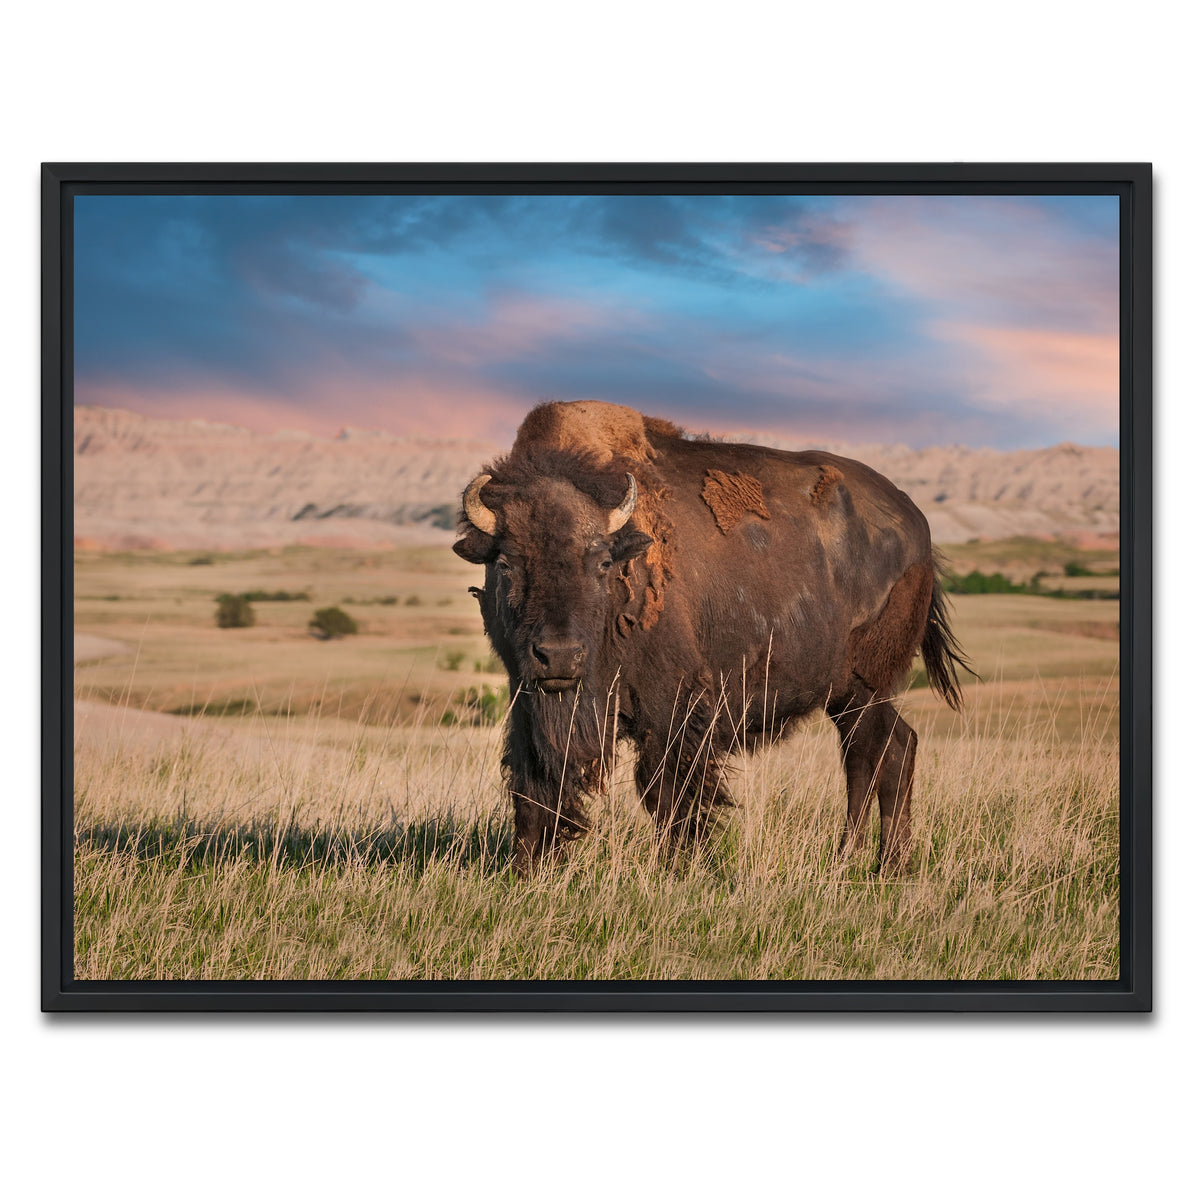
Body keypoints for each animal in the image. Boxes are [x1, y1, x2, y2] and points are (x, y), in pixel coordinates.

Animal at [453, 400, 970, 876]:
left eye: (601, 563)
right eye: (506, 563)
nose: (558, 656)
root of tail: (919, 530)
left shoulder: (672, 706)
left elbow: (669, 790)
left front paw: (680, 866)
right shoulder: (527, 700)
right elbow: (533, 782)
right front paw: (527, 869)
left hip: (865, 689)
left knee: (872, 755)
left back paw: (872, 862)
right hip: (851, 696)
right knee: (889, 750)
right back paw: (873, 862)